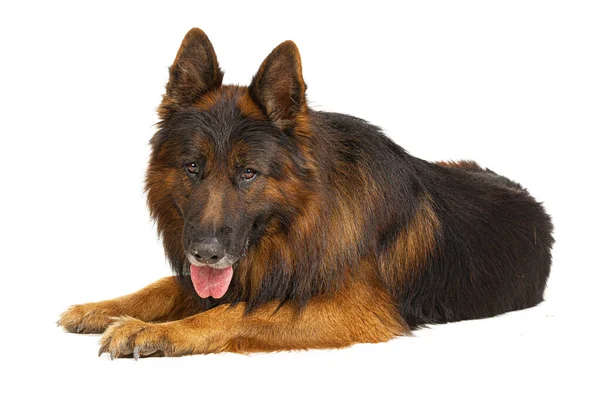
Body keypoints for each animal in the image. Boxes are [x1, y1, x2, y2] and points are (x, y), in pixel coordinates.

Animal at [58, 28, 556, 360]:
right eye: (192, 167)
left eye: (248, 174)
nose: (205, 252)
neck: (301, 219)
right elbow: (164, 286)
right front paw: (104, 308)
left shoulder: (352, 310)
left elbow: (234, 314)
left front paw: (155, 332)